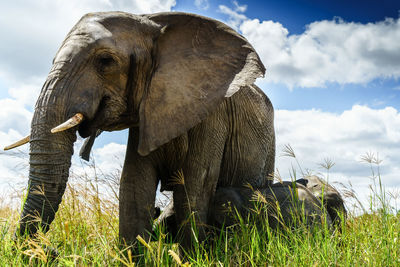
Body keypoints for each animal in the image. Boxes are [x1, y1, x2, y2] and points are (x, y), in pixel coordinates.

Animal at [5, 11, 276, 248]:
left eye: (105, 61)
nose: (50, 249)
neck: (153, 23)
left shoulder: (212, 114)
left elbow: (195, 187)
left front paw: (192, 255)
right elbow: (134, 186)